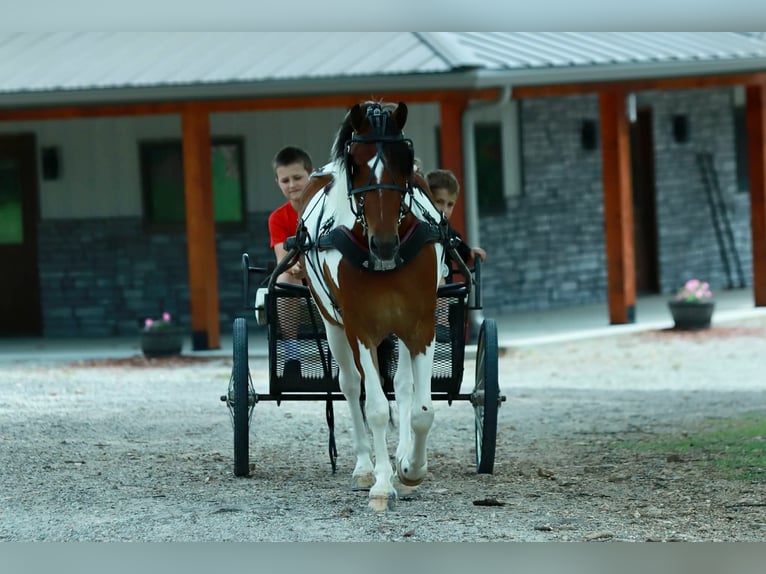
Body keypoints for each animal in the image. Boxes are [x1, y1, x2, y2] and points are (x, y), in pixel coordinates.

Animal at [296, 101, 446, 511]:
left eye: (404, 162)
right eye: (355, 165)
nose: (383, 244)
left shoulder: (420, 326)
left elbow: (421, 409)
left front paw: (410, 468)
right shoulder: (359, 327)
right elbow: (376, 407)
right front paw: (381, 484)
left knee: (405, 388)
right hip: (333, 325)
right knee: (350, 386)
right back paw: (365, 467)